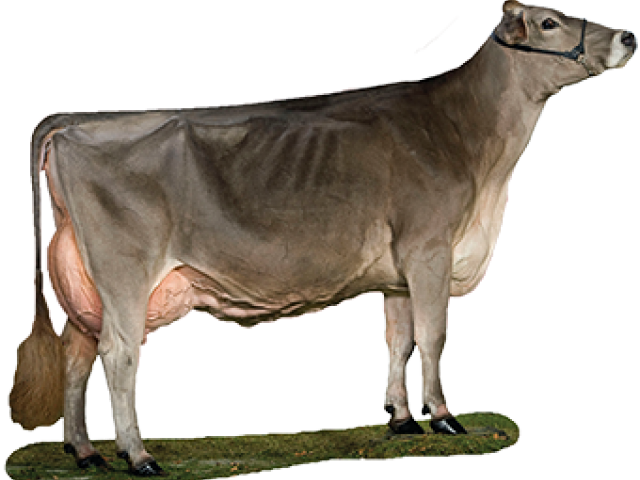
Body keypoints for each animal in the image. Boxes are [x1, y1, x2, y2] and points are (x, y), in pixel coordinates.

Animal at [12, 0, 636, 475]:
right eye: (550, 22)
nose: (628, 34)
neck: (475, 150)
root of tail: (75, 120)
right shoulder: (430, 249)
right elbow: (433, 338)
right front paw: (443, 417)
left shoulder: (399, 271)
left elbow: (398, 340)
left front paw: (401, 420)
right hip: (125, 270)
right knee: (118, 355)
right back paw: (137, 456)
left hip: (83, 279)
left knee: (77, 353)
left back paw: (85, 452)